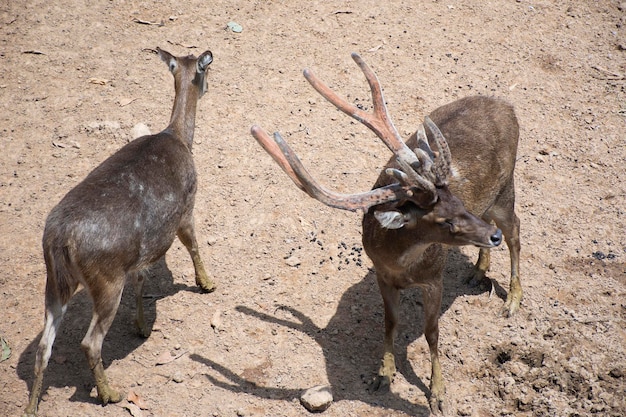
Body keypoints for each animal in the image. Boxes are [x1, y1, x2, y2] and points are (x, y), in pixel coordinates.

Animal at [249, 54, 516, 412]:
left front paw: (438, 394)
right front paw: (382, 375)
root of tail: (507, 105)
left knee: (516, 231)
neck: (401, 262)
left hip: (506, 189)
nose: (491, 236)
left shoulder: (434, 278)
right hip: (490, 203)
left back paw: (513, 300)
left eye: (458, 202)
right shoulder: (381, 275)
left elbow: (432, 332)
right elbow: (390, 322)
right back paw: (478, 270)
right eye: (444, 220)